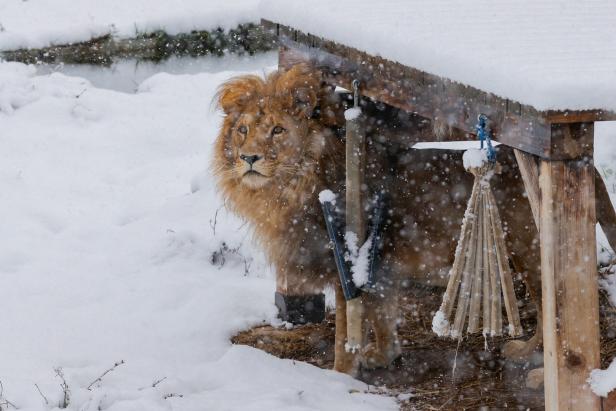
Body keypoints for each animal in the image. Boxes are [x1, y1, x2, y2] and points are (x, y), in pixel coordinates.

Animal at [213, 64, 544, 376]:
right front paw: (384, 355)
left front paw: (341, 375)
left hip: (530, 253)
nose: (249, 158)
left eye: (278, 130)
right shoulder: (379, 266)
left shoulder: (345, 264)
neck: (291, 187)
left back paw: (531, 360)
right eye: (242, 130)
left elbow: (346, 332)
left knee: (551, 313)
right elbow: (381, 315)